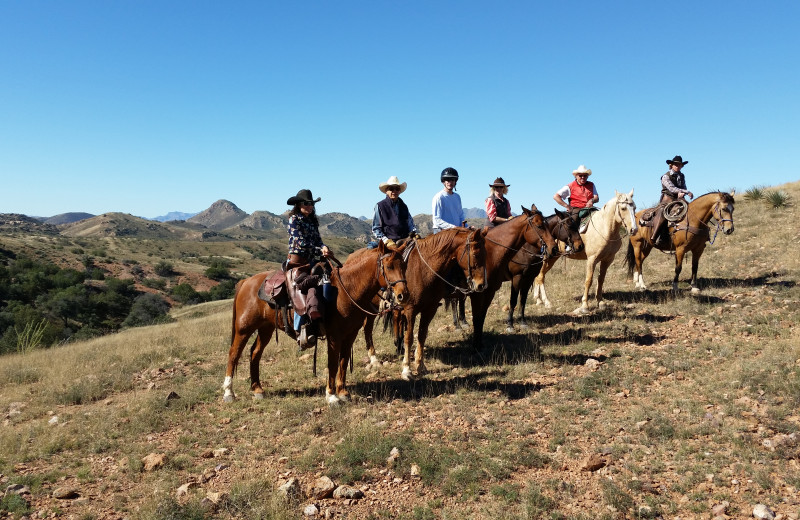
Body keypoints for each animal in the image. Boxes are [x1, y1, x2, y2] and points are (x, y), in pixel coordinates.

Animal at [222, 242, 410, 404]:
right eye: (389, 266)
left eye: (404, 265)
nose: (403, 295)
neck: (346, 290)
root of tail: (245, 282)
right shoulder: (334, 336)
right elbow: (332, 363)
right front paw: (332, 396)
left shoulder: (350, 334)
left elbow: (343, 362)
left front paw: (343, 393)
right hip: (244, 328)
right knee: (233, 354)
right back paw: (229, 393)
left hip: (265, 328)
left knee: (255, 353)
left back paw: (257, 389)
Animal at [360, 230, 488, 380]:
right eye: (475, 254)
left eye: (486, 253)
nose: (481, 285)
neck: (424, 269)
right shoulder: (410, 310)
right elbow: (409, 338)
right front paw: (407, 369)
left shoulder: (430, 309)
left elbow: (422, 335)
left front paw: (420, 365)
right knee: (368, 328)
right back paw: (374, 358)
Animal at [466, 205, 560, 348]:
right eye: (539, 226)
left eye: (548, 225)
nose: (554, 249)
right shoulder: (516, 278)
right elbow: (512, 301)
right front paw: (510, 325)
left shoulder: (528, 278)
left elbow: (522, 300)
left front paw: (523, 322)